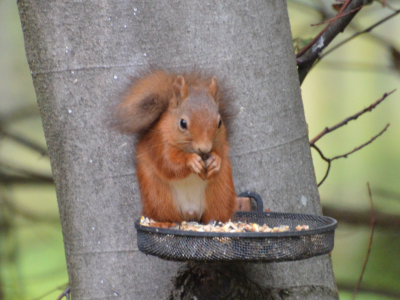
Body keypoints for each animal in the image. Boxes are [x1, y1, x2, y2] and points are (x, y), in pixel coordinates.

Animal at [114, 71, 236, 224]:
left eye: (220, 122)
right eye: (183, 123)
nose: (205, 148)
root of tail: (190, 212)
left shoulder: (220, 143)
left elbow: (220, 153)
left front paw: (216, 161)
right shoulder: (160, 142)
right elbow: (169, 163)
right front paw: (191, 161)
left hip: (221, 193)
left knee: (215, 213)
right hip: (158, 194)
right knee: (167, 215)